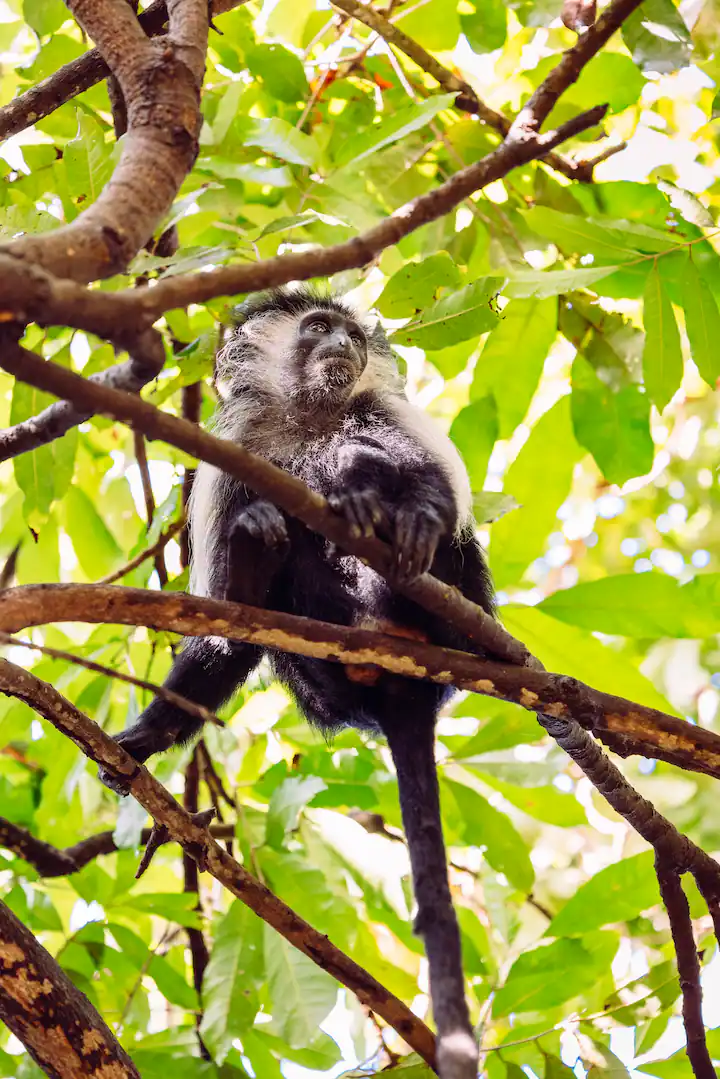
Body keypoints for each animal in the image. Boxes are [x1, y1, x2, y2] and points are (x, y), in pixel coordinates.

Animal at [100, 287, 495, 1079]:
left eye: (350, 335)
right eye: (318, 328)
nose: (343, 342)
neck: (309, 414)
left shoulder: (390, 411)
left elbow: (434, 485)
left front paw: (409, 511)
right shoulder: (231, 462)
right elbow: (227, 630)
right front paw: (145, 738)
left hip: (458, 611)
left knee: (374, 470)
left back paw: (370, 505)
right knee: (273, 556)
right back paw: (281, 533)